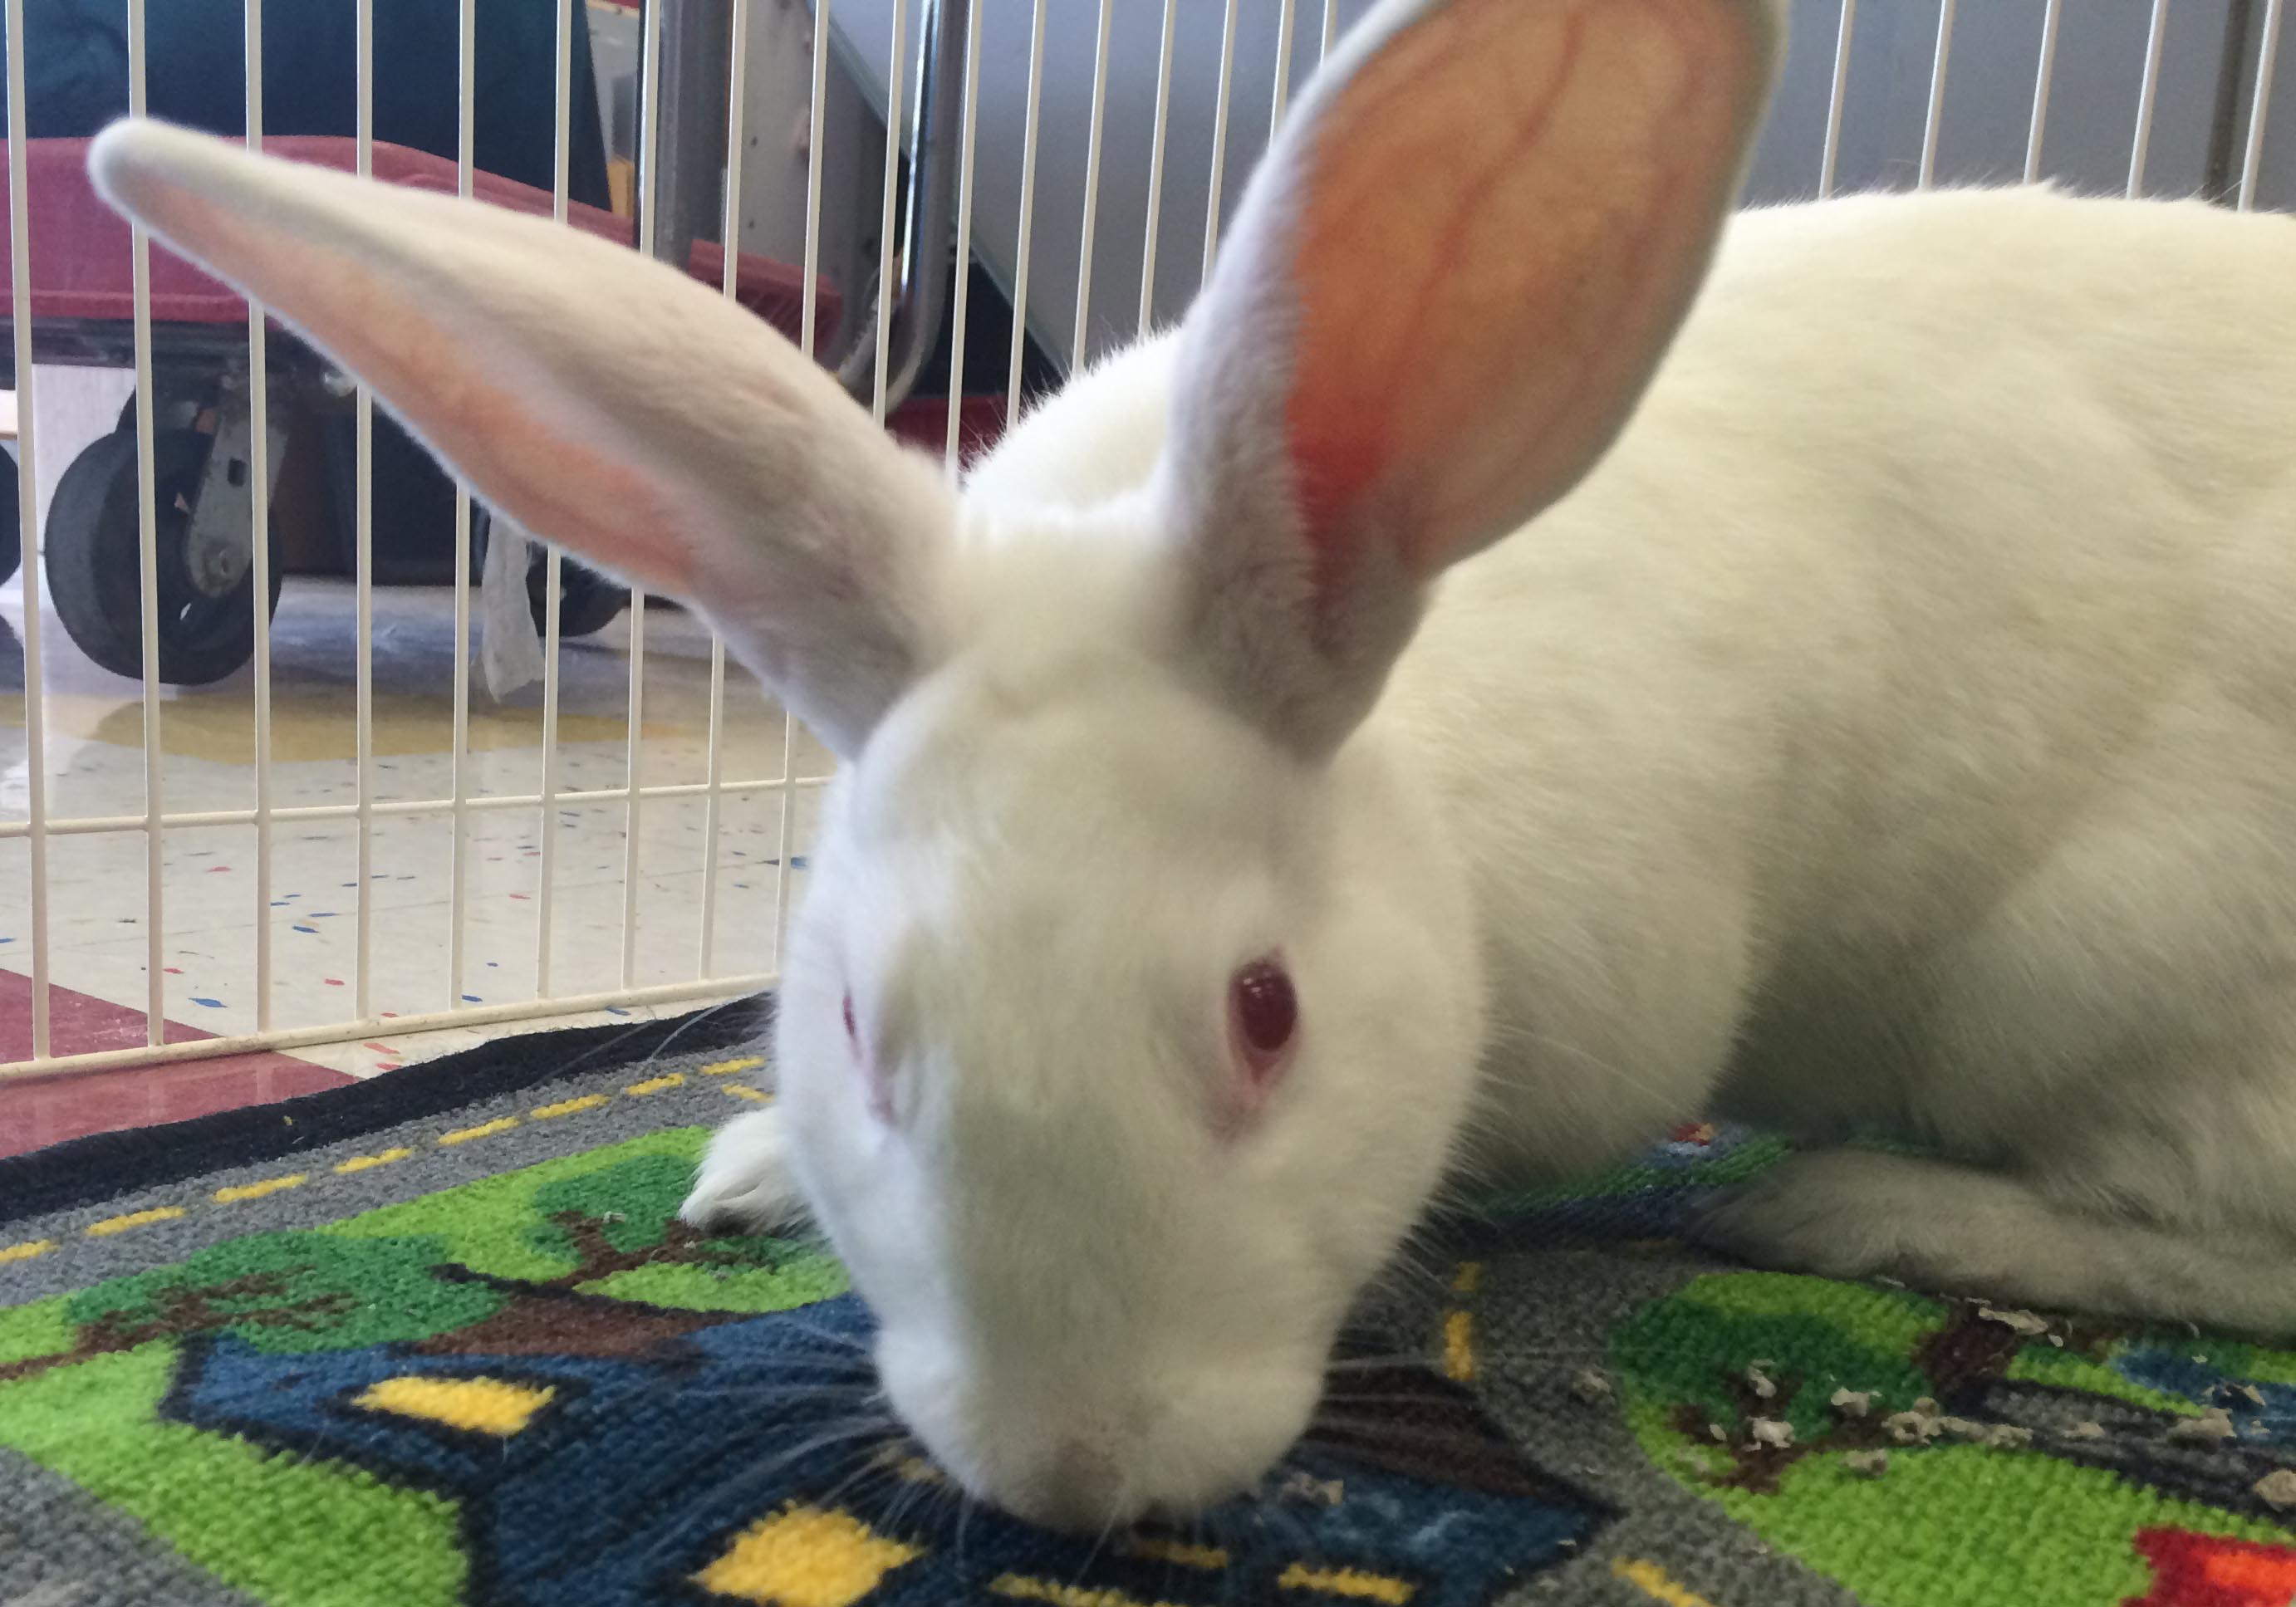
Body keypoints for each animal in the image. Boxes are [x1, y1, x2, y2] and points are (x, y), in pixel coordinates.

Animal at [88, 0, 2296, 1535]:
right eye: (856, 1025)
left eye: (1266, 1012)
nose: (1072, 1479)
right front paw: (744, 1171)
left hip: (2110, 983)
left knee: (2214, 1242)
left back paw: (1844, 1212)